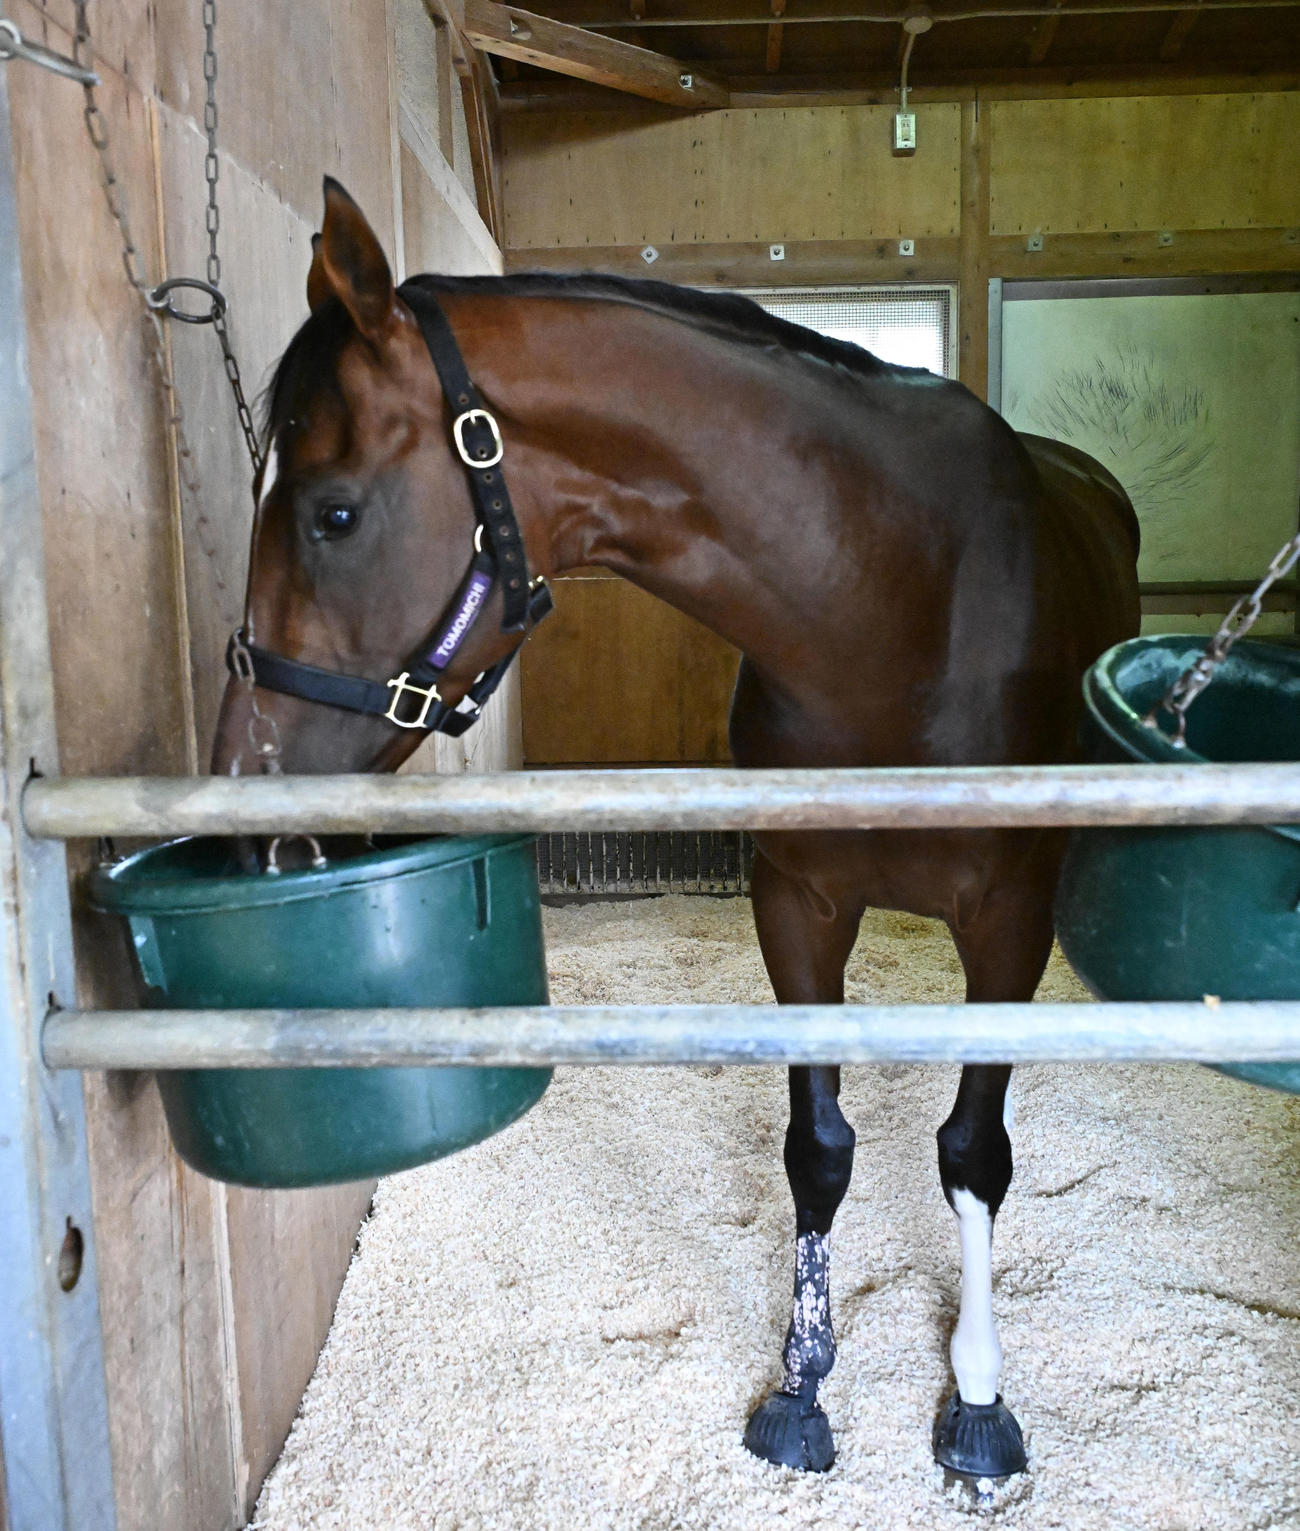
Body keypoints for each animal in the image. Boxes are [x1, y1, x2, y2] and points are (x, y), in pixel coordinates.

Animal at [212, 176, 1141, 1483]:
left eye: (332, 514)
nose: (238, 792)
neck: (901, 602)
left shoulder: (1006, 916)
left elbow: (972, 1152)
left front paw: (977, 1399)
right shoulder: (797, 899)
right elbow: (818, 1145)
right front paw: (803, 1386)